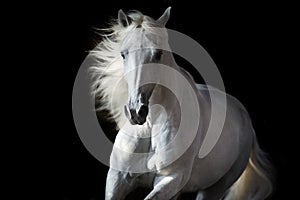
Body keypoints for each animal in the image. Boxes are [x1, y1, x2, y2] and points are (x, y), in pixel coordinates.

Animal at [90, 7, 274, 199]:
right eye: (123, 54)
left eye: (158, 54)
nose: (136, 112)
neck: (151, 126)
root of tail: (244, 117)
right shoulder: (117, 178)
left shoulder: (171, 179)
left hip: (214, 188)